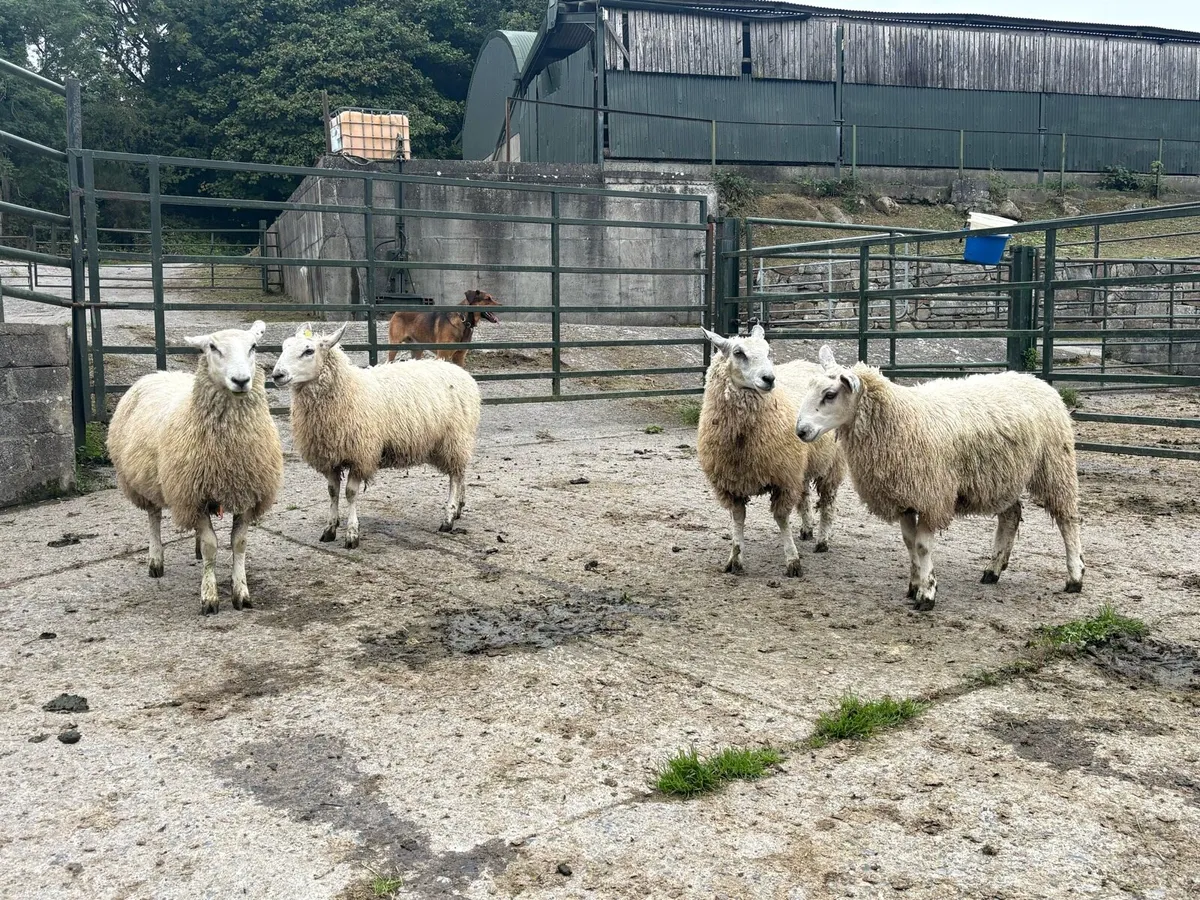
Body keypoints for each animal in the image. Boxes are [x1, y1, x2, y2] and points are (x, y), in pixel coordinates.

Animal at [107, 321, 283, 615]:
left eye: (254, 346)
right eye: (213, 347)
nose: (241, 380)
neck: (230, 450)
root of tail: (158, 373)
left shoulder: (246, 492)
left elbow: (239, 544)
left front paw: (241, 592)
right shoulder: (192, 495)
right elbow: (213, 546)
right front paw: (209, 597)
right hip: (146, 483)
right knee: (154, 518)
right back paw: (156, 561)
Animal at [271, 322, 481, 547]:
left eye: (308, 351)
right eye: (283, 347)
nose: (277, 375)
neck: (347, 389)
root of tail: (460, 371)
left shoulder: (360, 454)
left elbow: (350, 493)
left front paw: (352, 534)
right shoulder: (330, 456)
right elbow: (332, 492)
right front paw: (330, 529)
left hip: (454, 438)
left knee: (454, 477)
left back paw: (448, 518)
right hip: (454, 441)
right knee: (461, 472)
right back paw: (459, 507)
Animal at [697, 323, 845, 578]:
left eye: (768, 352)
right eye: (738, 352)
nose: (769, 378)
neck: (742, 440)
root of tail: (810, 363)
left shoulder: (783, 478)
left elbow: (781, 518)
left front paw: (792, 561)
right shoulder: (731, 482)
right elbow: (738, 519)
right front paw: (735, 559)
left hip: (831, 466)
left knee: (828, 501)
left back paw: (822, 540)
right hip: (801, 465)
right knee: (804, 496)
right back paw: (807, 529)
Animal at [795, 345, 1084, 611]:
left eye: (830, 394)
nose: (801, 431)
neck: (898, 419)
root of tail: (1036, 381)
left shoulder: (931, 496)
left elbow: (922, 546)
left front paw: (927, 594)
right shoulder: (905, 497)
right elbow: (909, 543)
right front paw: (914, 586)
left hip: (1054, 465)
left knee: (1067, 519)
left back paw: (1075, 576)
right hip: (1002, 477)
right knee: (1011, 515)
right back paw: (993, 570)